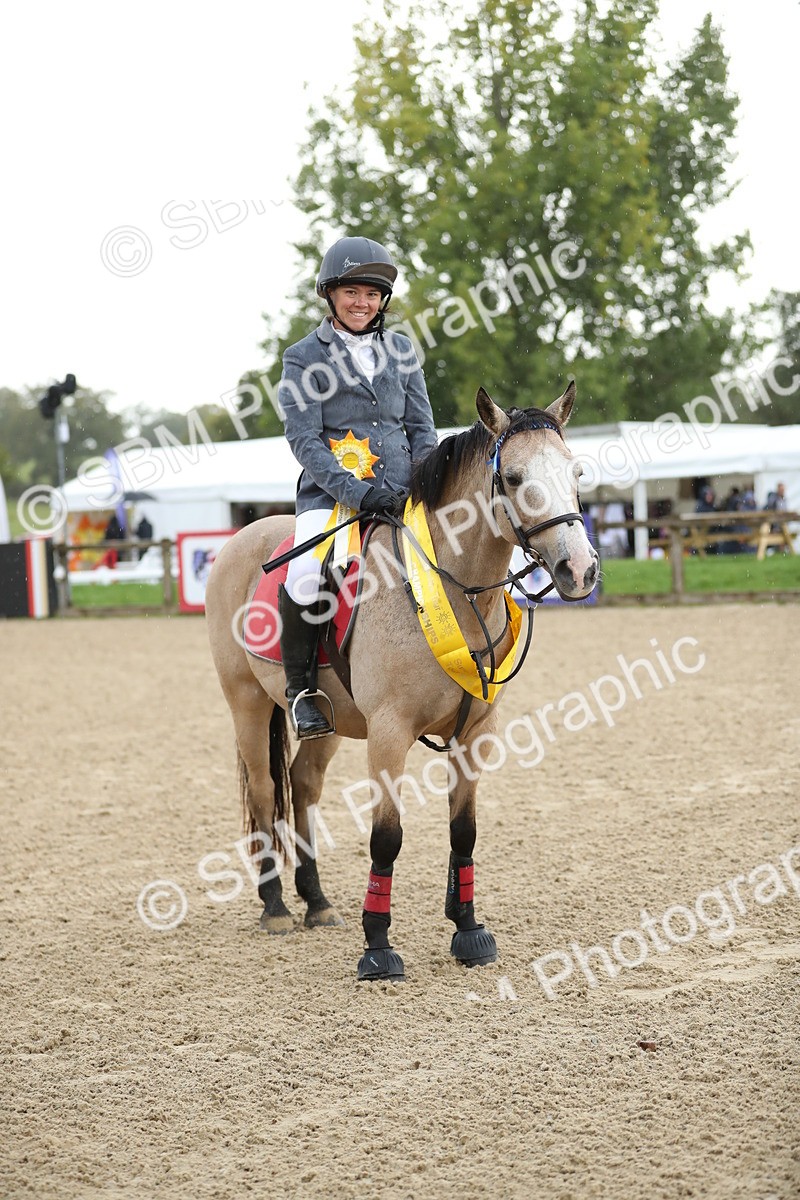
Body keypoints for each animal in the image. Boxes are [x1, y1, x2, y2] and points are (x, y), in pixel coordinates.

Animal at [205, 383, 598, 980]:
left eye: (575, 473)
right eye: (512, 478)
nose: (580, 570)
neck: (453, 590)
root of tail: (239, 537)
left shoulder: (477, 731)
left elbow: (464, 830)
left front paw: (468, 930)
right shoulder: (390, 733)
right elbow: (386, 837)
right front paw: (378, 947)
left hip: (332, 721)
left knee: (303, 784)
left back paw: (316, 901)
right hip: (246, 703)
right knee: (267, 789)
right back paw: (275, 906)